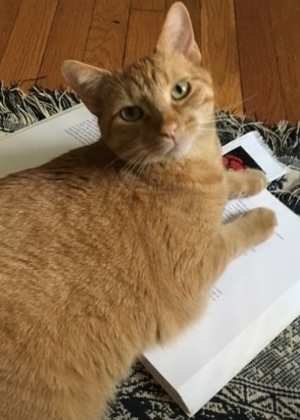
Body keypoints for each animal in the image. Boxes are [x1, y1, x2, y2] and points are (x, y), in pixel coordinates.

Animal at [0, 3, 276, 420]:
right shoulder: (196, 268)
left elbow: (227, 184)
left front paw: (251, 178)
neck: (186, 169)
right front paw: (264, 216)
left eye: (179, 90)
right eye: (131, 113)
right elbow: (236, 234)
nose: (171, 129)